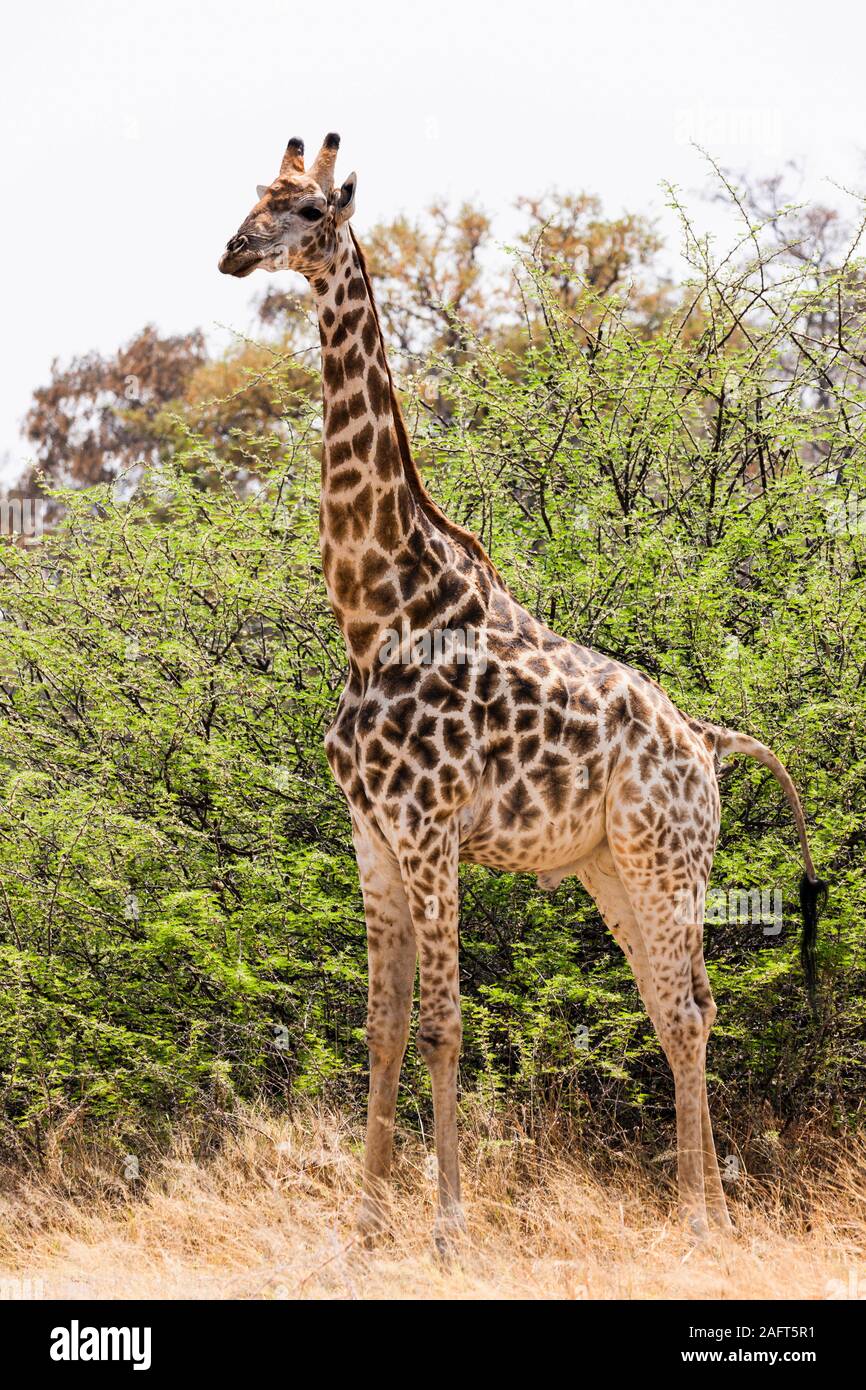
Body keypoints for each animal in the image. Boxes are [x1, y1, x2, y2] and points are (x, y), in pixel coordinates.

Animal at [219, 132, 828, 1251]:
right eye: (253, 197)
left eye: (311, 209)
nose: (233, 252)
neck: (374, 611)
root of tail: (707, 739)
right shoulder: (371, 834)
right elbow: (381, 1028)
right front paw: (363, 1228)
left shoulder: (428, 829)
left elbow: (444, 1025)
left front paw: (448, 1229)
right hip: (611, 867)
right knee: (684, 1003)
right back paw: (711, 1212)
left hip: (666, 857)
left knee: (684, 1009)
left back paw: (697, 1221)